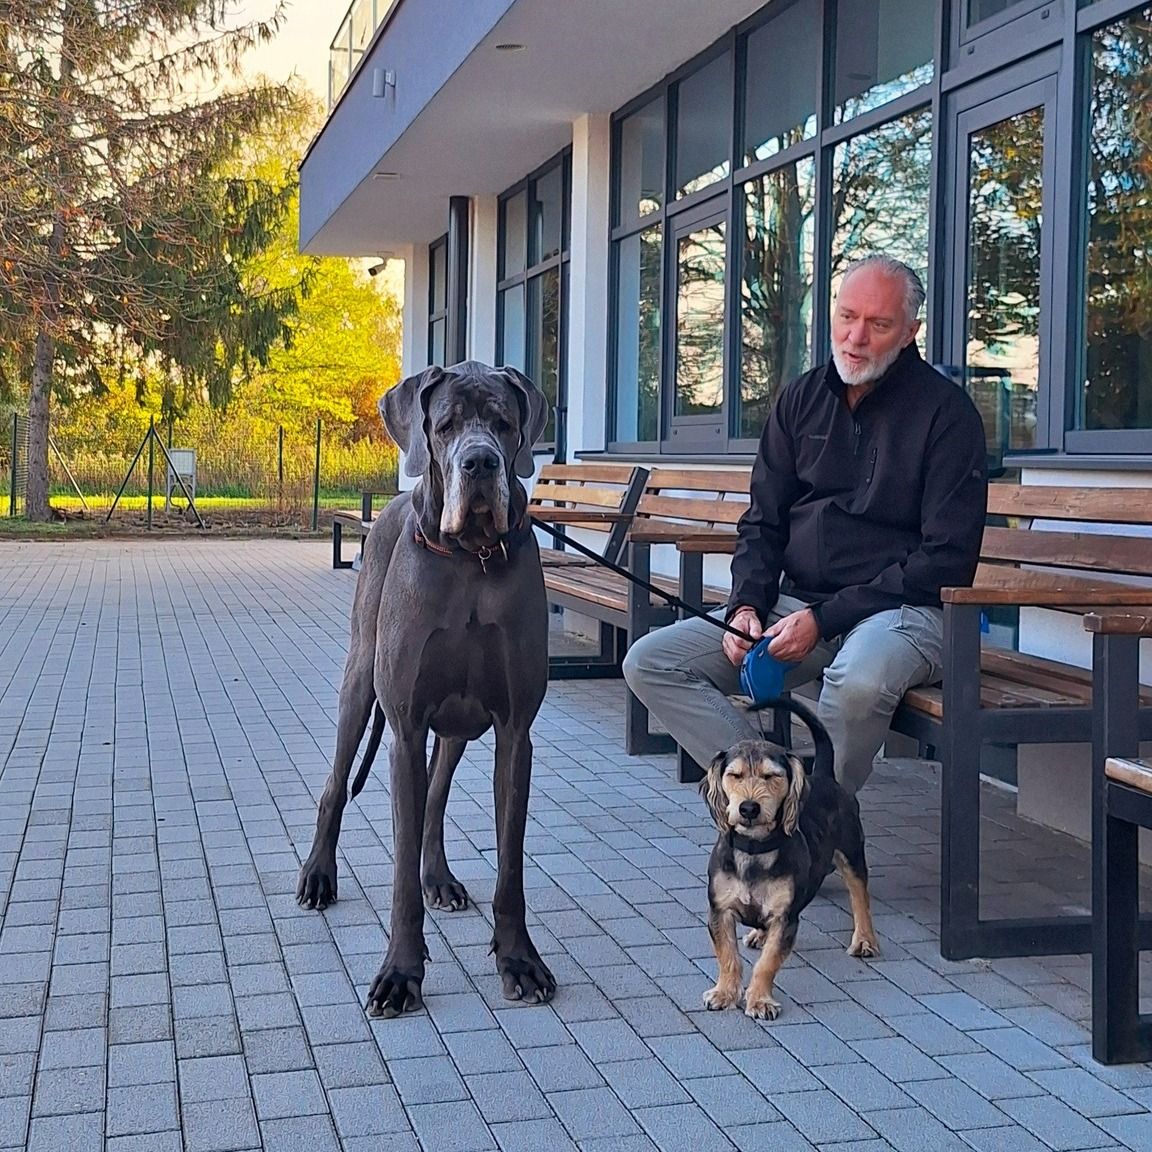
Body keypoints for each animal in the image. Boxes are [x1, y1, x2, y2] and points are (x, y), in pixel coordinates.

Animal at [695, 695, 875, 1022]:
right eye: (734, 775)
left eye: (772, 776)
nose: (749, 808)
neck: (754, 849)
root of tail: (825, 775)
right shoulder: (720, 910)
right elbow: (727, 955)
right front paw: (724, 993)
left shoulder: (785, 917)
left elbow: (768, 963)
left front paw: (760, 1000)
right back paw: (758, 934)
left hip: (851, 851)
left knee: (859, 896)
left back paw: (865, 939)